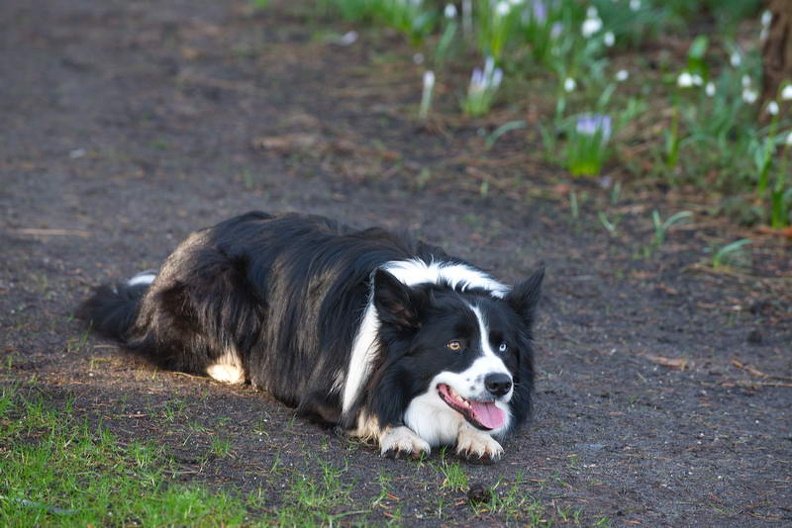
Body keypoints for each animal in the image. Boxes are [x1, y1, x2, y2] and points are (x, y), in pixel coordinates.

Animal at [80, 211, 543, 460]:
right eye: (455, 345)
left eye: (503, 345)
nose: (501, 384)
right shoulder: (325, 392)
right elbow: (364, 412)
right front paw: (398, 433)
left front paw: (479, 437)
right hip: (219, 286)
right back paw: (231, 367)